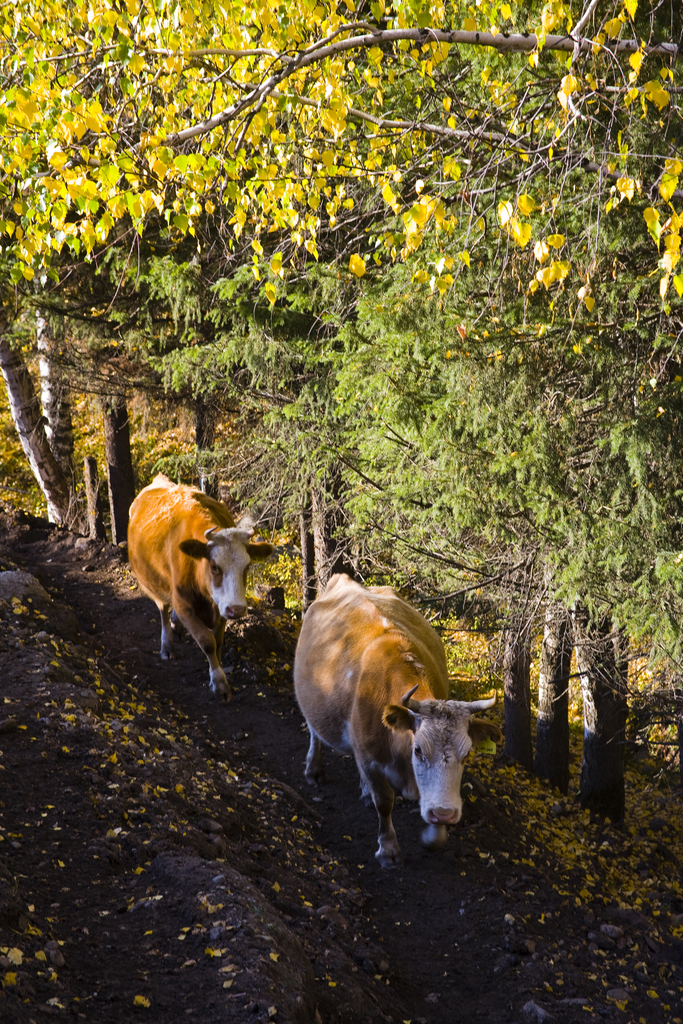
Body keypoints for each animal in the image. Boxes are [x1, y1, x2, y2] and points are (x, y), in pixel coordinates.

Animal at [129, 475, 274, 700]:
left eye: (247, 566)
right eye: (214, 567)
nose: (237, 610)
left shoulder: (222, 607)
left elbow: (218, 641)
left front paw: (220, 669)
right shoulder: (183, 604)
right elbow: (207, 642)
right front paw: (219, 682)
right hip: (155, 587)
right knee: (162, 611)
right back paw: (167, 645)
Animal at [294, 573, 501, 868]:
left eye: (467, 754)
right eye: (418, 750)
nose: (446, 813)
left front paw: (434, 834)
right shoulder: (368, 756)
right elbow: (384, 801)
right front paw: (389, 850)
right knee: (314, 731)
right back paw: (314, 770)